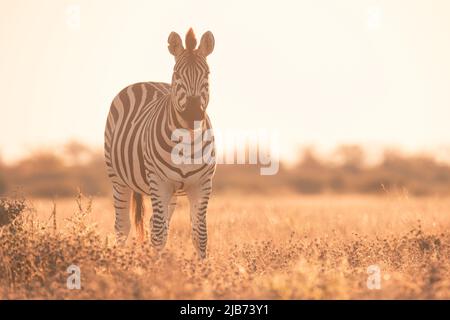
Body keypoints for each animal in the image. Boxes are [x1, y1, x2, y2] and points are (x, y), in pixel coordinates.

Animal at [106, 28, 218, 258]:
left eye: (207, 74)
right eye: (176, 74)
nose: (193, 113)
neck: (187, 141)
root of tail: (145, 81)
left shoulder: (202, 184)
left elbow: (200, 235)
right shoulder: (159, 181)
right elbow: (158, 235)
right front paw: (154, 266)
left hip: (172, 192)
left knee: (158, 222)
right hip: (118, 179)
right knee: (123, 226)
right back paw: (119, 259)